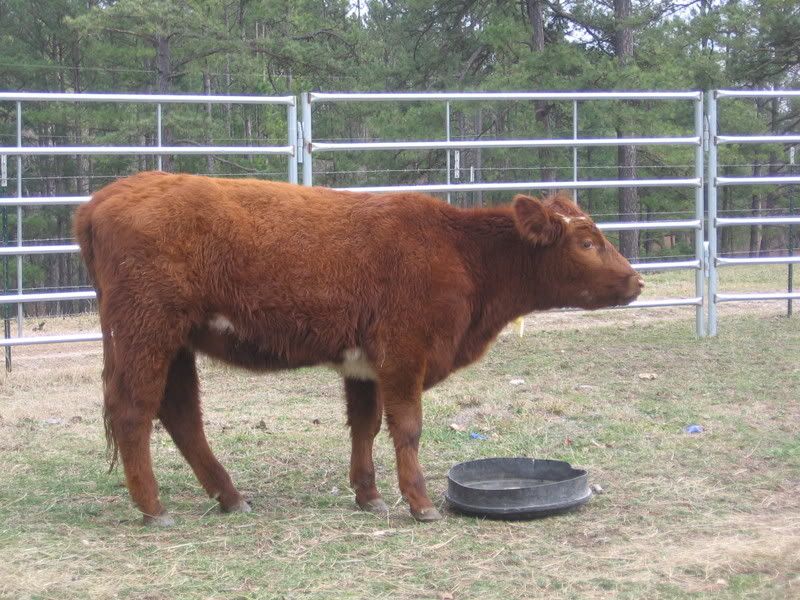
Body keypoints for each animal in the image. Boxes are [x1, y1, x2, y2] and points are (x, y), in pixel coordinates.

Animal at [75, 171, 644, 526]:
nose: (637, 281)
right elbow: (407, 428)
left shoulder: (366, 365)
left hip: (175, 342)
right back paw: (154, 509)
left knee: (180, 415)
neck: (461, 253)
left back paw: (230, 497)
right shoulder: (404, 353)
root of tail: (102, 200)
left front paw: (367, 494)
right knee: (134, 412)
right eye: (587, 242)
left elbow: (364, 425)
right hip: (145, 331)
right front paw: (419, 502)